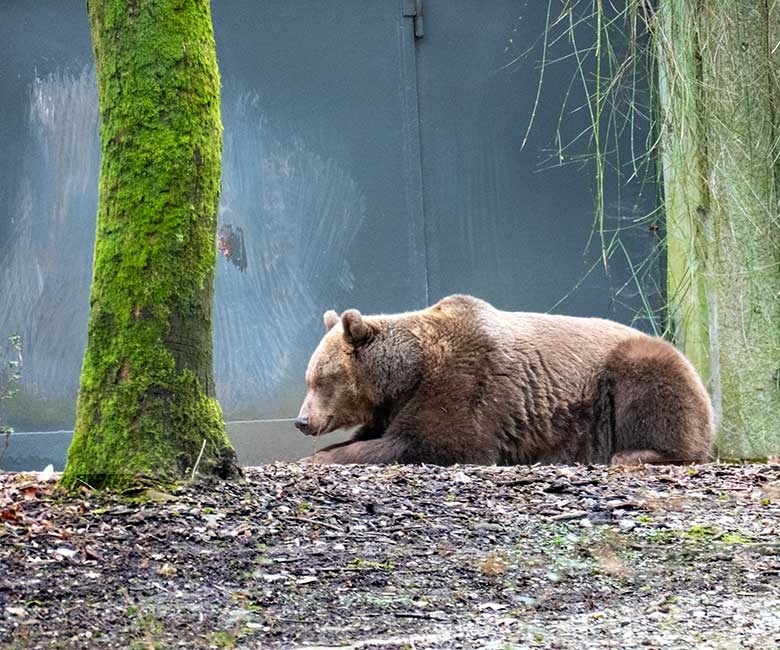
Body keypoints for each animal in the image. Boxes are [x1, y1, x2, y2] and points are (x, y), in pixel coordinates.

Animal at [296, 294, 716, 466]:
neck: (408, 375)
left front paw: (317, 458)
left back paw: (635, 453)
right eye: (309, 378)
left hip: (628, 371)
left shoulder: (466, 380)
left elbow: (434, 442)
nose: (302, 421)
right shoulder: (393, 407)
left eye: (321, 379)